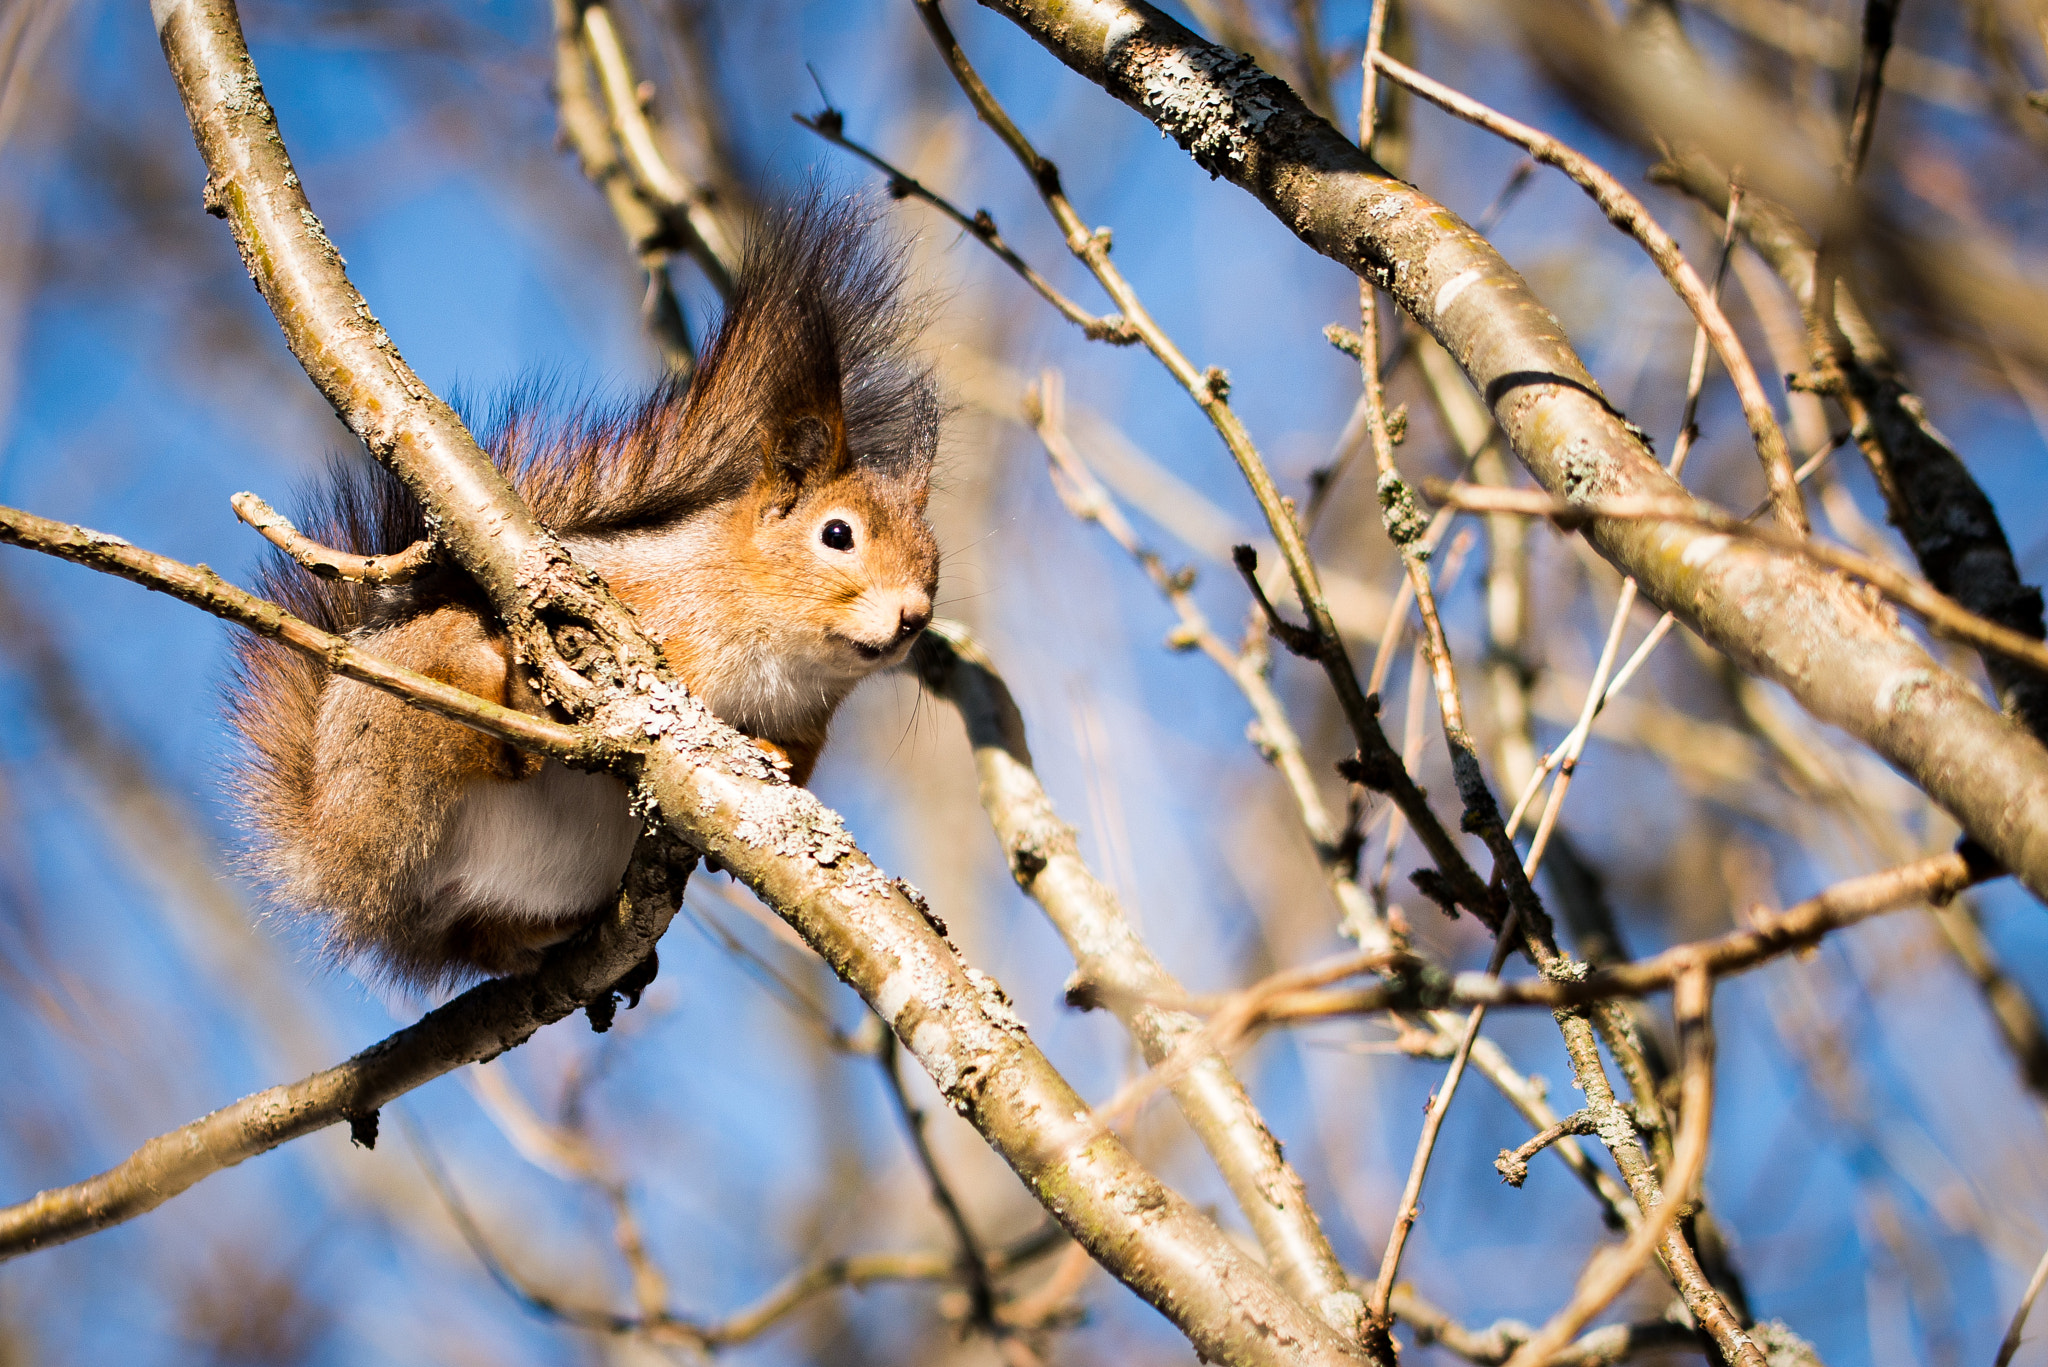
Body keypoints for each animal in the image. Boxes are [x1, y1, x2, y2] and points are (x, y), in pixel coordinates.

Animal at [227, 198, 940, 988]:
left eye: (935, 563)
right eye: (837, 534)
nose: (914, 618)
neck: (782, 650)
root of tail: (331, 853)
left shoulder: (811, 722)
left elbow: (795, 760)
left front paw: (771, 755)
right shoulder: (661, 621)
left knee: (479, 939)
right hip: (399, 725)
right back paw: (501, 692)